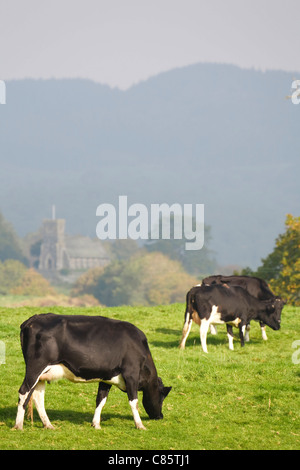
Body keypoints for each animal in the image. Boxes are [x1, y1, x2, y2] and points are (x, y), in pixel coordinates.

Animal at [13, 314, 171, 432]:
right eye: (162, 397)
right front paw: (140, 425)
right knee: (24, 391)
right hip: (35, 367)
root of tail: (31, 320)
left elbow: (101, 399)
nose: (160, 416)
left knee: (38, 396)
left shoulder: (107, 377)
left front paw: (96, 424)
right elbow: (134, 401)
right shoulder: (131, 373)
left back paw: (48, 425)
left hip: (42, 375)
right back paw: (18, 425)